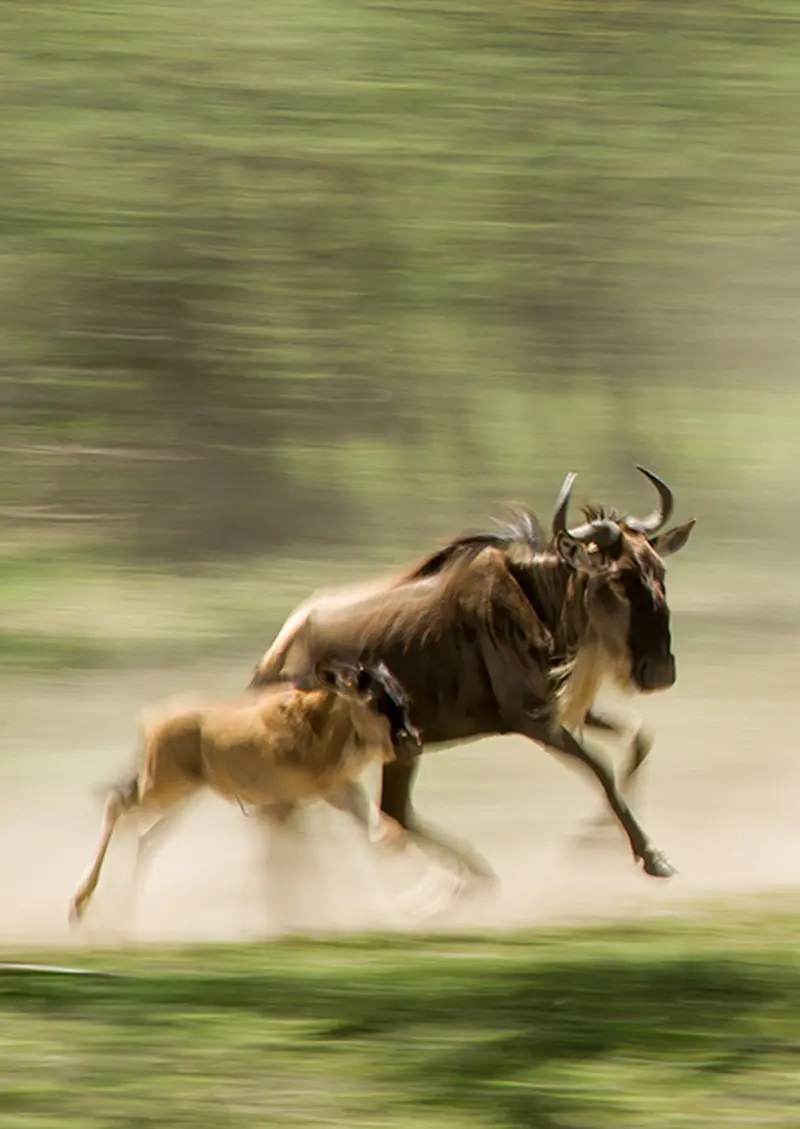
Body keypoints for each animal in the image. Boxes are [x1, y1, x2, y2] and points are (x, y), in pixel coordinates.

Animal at [68, 659, 423, 926]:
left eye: (402, 698)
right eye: (373, 701)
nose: (412, 741)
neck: (318, 731)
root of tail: (150, 720)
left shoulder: (328, 793)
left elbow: (379, 831)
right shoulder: (288, 804)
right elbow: (289, 861)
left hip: (186, 795)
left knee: (145, 837)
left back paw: (118, 913)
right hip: (163, 788)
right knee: (118, 804)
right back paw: (81, 904)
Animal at [250, 466, 695, 892]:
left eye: (659, 571)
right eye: (617, 580)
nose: (659, 671)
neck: (540, 606)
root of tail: (276, 656)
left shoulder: (566, 710)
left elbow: (639, 738)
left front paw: (597, 840)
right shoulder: (532, 719)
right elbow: (601, 770)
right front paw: (650, 857)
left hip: (395, 749)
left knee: (379, 811)